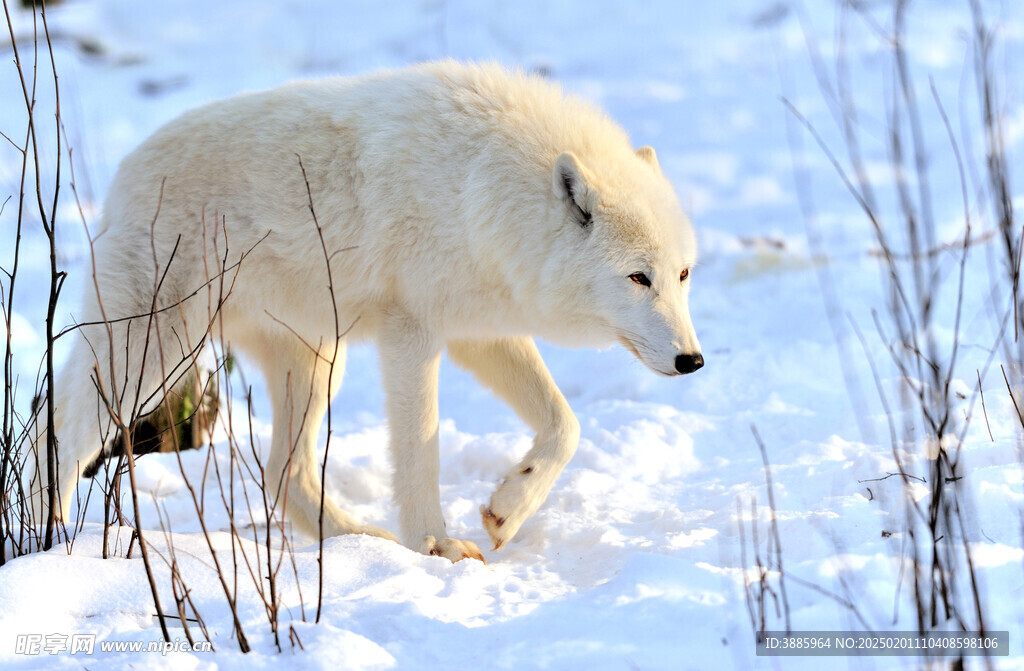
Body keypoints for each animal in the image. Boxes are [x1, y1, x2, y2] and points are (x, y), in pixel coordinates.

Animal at [34, 61, 704, 561]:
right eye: (638, 277)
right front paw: (437, 547)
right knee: (62, 436)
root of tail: (123, 174)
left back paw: (360, 540)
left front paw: (506, 512)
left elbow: (566, 426)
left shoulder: (479, 334)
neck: (481, 187)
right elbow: (420, 453)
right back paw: (51, 541)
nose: (692, 361)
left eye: (682, 274)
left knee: (283, 470)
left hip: (314, 364)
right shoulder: (413, 334)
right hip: (151, 356)